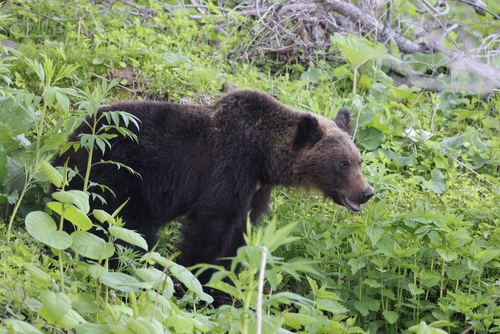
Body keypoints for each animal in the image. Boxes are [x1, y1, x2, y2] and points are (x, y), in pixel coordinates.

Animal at [55, 88, 376, 282]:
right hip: (117, 172)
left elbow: (241, 229)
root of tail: (75, 136)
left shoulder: (256, 189)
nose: (367, 192)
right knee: (117, 223)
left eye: (358, 160)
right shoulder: (229, 165)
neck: (263, 158)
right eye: (342, 163)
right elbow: (214, 222)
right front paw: (196, 274)